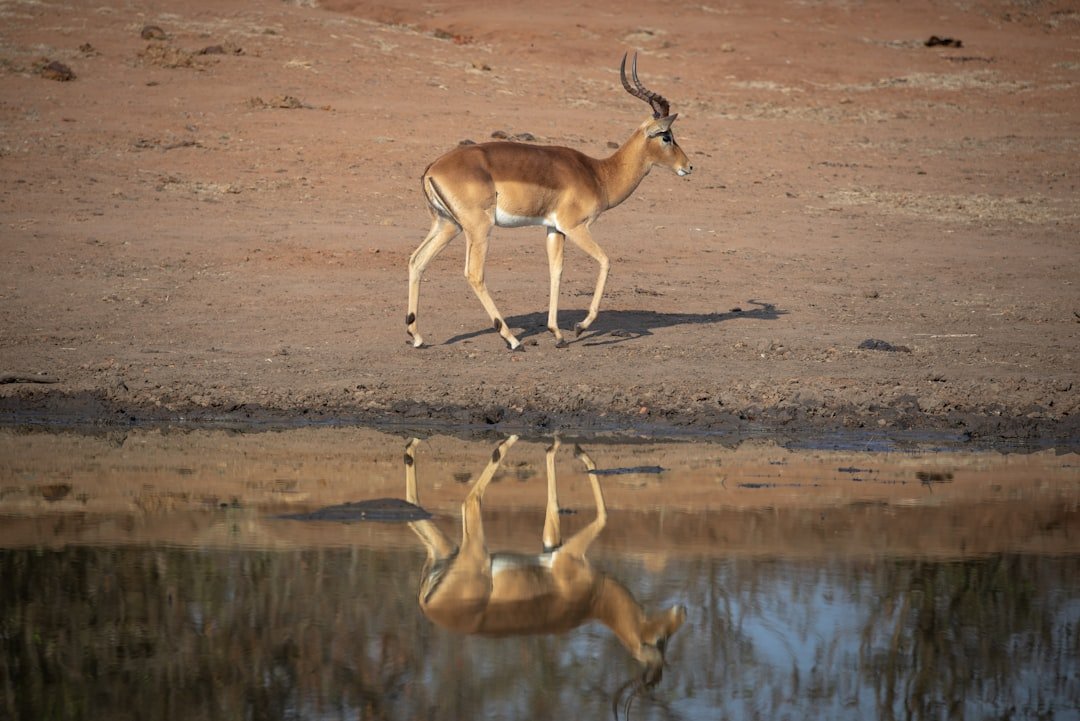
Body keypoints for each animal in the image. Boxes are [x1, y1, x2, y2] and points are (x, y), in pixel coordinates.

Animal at [404, 435, 687, 718]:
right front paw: (576, 451)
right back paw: (505, 443)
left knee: (415, 504)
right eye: (660, 640)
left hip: (445, 551)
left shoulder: (551, 544)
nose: (682, 612)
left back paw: (414, 445)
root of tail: (428, 606)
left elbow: (554, 503)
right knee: (471, 499)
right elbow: (604, 516)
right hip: (476, 552)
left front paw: (558, 447)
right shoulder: (567, 555)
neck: (595, 598)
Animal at [406, 53, 693, 350]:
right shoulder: (575, 226)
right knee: (474, 273)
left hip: (448, 225)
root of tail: (432, 168)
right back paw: (511, 339)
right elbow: (605, 261)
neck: (598, 174)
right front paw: (579, 327)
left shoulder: (554, 229)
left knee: (417, 260)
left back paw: (417, 336)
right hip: (479, 228)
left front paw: (557, 334)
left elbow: (556, 272)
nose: (688, 166)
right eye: (667, 136)